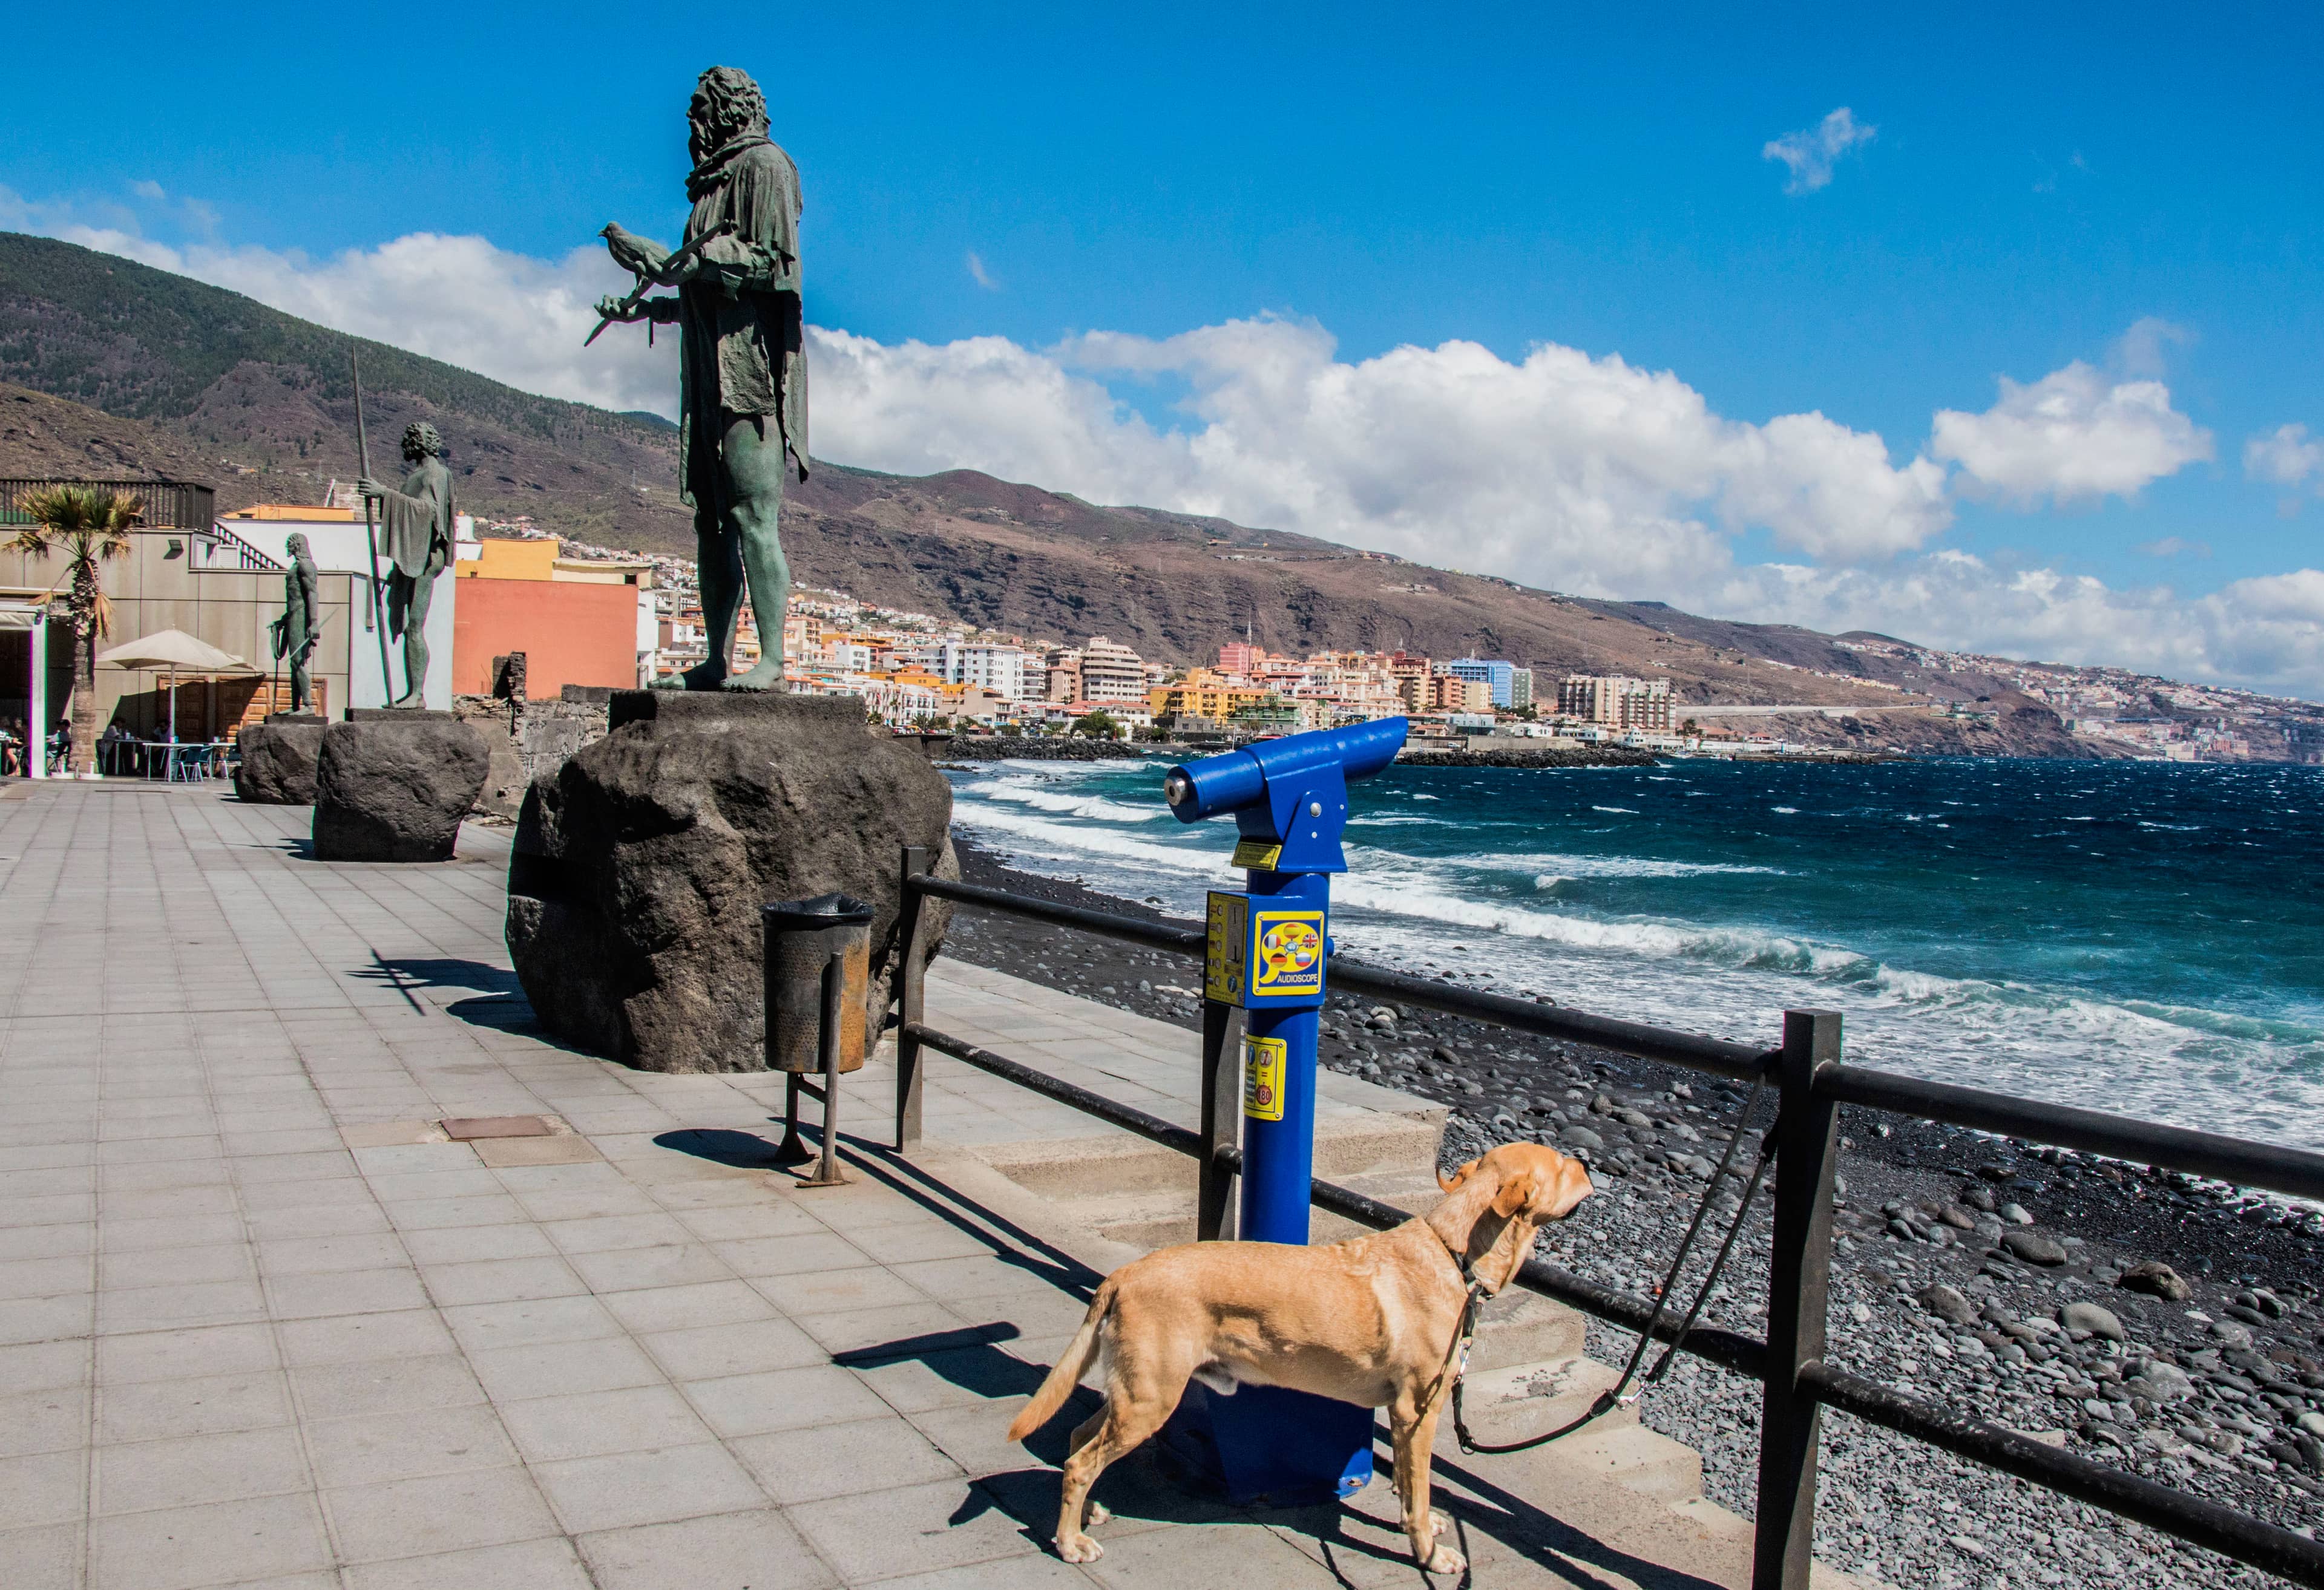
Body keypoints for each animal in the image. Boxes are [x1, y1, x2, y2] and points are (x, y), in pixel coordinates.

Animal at [1008, 1143, 1589, 1562]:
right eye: (1561, 1165)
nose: (1586, 1163)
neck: (1455, 1254)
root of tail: (1124, 1274)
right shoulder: (1417, 1413)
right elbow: (1420, 1491)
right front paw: (1428, 1553)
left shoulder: (1402, 1418)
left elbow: (1408, 1484)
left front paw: (1414, 1522)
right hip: (1150, 1401)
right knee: (1080, 1462)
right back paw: (1069, 1543)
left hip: (1134, 1392)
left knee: (1078, 1440)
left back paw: (1088, 1513)